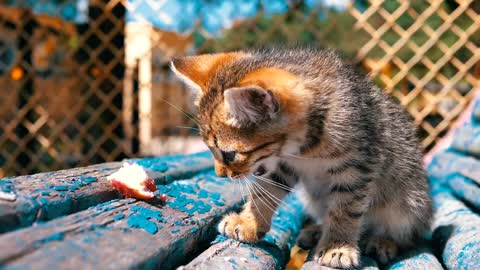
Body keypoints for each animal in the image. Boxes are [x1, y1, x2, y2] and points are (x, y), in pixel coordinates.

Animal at [171, 47, 434, 268]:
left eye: (228, 153)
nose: (220, 174)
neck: (305, 148)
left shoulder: (358, 168)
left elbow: (345, 209)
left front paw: (338, 246)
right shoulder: (283, 166)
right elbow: (265, 192)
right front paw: (249, 222)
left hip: (409, 201)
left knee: (407, 233)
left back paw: (383, 241)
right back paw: (317, 230)